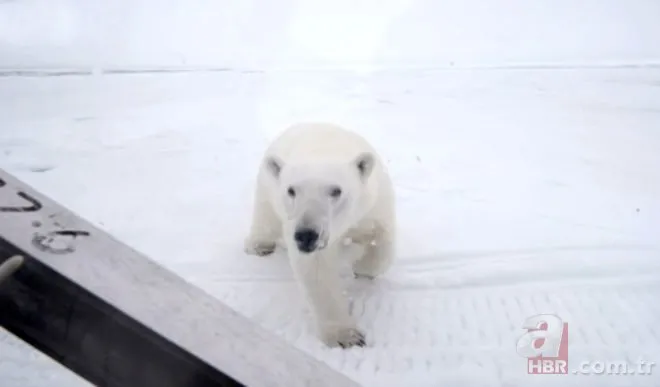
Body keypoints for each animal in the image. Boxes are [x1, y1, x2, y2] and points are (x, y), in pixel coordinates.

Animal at [244, 123, 394, 350]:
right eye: (291, 190)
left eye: (336, 190)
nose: (306, 235)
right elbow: (318, 272)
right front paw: (346, 336)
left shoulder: (374, 204)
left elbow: (381, 238)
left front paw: (363, 267)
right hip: (267, 186)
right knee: (265, 217)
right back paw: (259, 245)